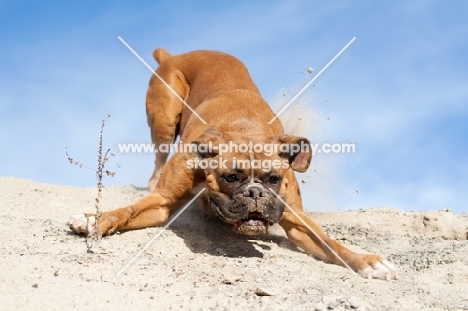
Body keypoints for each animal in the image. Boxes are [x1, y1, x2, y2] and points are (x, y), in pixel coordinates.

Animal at [68, 48, 398, 280]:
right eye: (230, 177)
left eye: (273, 180)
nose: (255, 194)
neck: (245, 127)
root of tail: (173, 55)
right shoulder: (162, 202)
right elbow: (127, 211)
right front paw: (93, 220)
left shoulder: (296, 219)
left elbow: (330, 243)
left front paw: (367, 262)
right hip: (165, 115)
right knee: (158, 158)